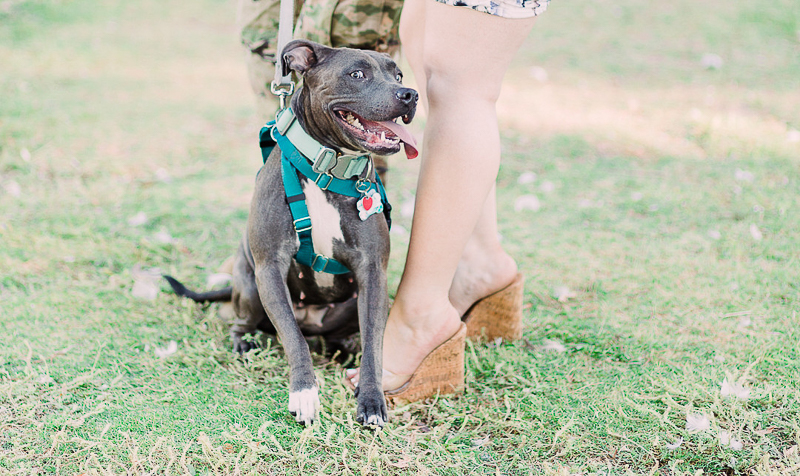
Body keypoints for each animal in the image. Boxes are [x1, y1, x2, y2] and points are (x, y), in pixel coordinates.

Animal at [166, 40, 422, 428]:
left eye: (399, 75)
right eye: (357, 74)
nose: (410, 94)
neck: (327, 169)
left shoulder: (374, 273)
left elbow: (374, 344)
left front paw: (371, 399)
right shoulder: (270, 268)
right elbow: (293, 338)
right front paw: (304, 393)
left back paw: (343, 349)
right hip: (251, 287)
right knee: (246, 323)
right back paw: (245, 343)